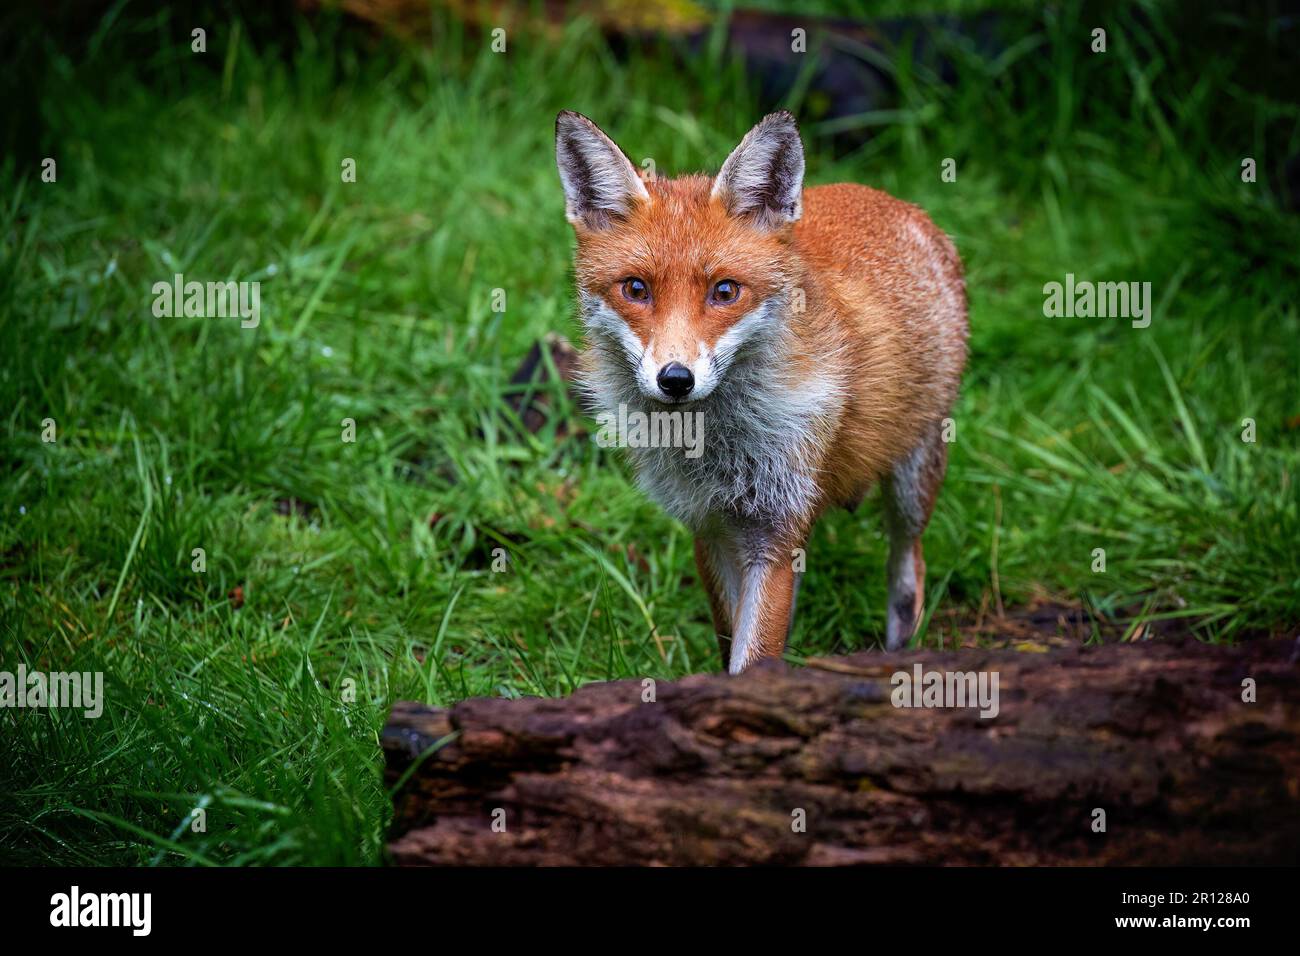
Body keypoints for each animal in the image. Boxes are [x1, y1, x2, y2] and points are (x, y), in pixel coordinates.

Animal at [553, 110, 972, 671]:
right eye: (635, 289)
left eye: (725, 291)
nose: (675, 379)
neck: (715, 446)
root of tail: (900, 203)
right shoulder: (707, 525)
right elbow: (730, 641)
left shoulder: (776, 529)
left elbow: (753, 658)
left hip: (913, 480)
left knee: (910, 570)